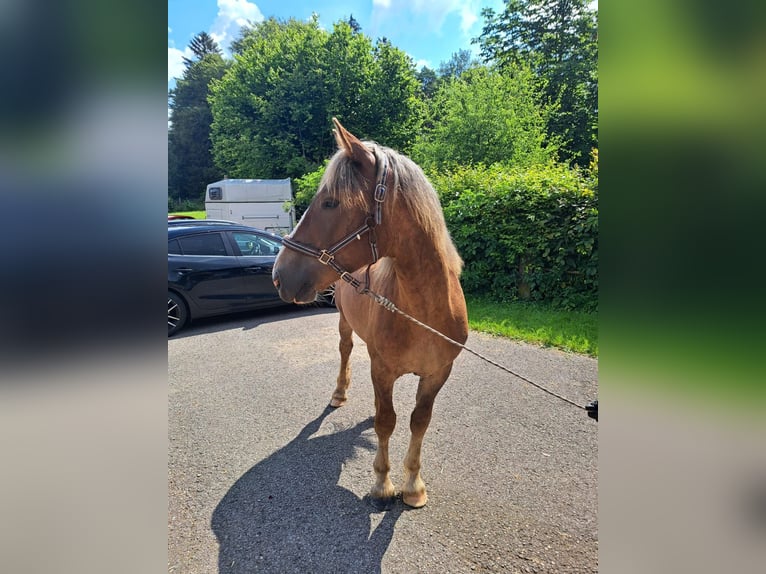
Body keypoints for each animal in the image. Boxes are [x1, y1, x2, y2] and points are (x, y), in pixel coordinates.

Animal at [272, 119, 472, 510]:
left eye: (330, 202)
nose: (278, 274)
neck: (424, 312)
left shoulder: (438, 373)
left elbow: (417, 421)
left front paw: (413, 486)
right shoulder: (382, 369)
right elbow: (386, 422)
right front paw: (382, 484)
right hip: (344, 324)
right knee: (346, 352)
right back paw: (339, 393)